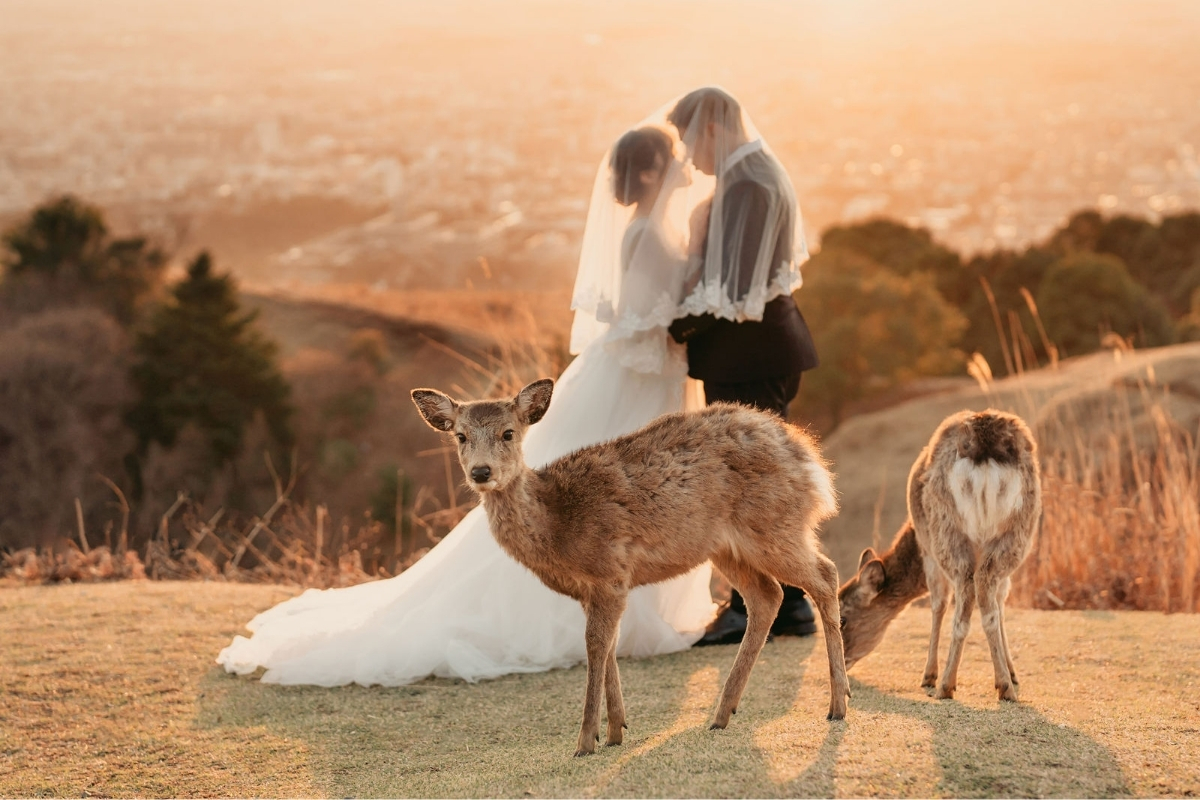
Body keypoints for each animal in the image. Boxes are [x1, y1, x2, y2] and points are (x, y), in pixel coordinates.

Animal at [417, 381, 849, 758]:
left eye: (508, 433)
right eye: (460, 436)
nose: (481, 472)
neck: (557, 523)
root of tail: (811, 460)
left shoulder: (608, 570)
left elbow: (594, 645)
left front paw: (585, 741)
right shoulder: (593, 588)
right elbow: (609, 645)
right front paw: (615, 731)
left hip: (773, 525)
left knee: (825, 575)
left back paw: (838, 705)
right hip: (726, 547)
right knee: (767, 595)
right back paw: (722, 714)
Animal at [835, 410, 1041, 705]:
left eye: (843, 618)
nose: (841, 664)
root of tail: (984, 442)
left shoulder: (927, 551)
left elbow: (938, 604)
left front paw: (928, 675)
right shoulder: (1007, 570)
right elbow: (1001, 604)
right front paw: (1012, 672)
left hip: (946, 532)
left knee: (964, 596)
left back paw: (946, 684)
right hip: (1017, 533)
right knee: (986, 597)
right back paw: (1005, 686)